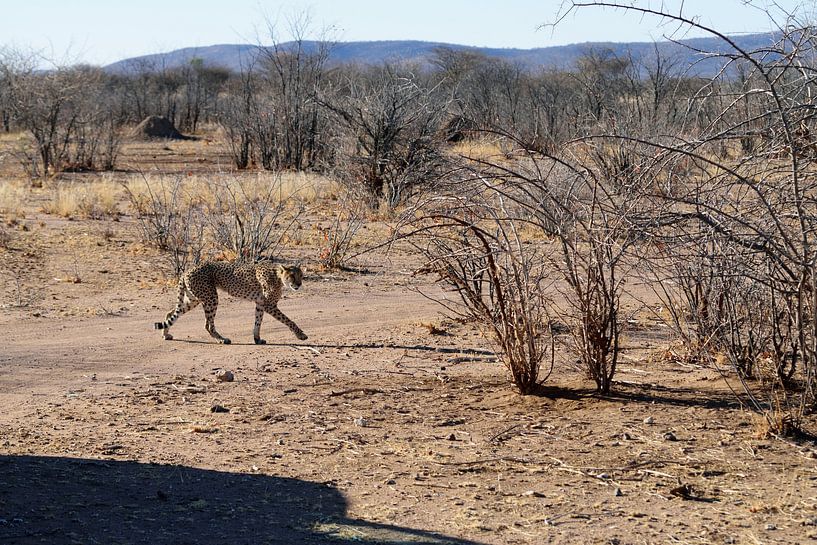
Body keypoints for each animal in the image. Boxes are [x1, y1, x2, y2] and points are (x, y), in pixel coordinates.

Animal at [153, 260, 308, 345]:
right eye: (292, 276)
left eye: (301, 275)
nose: (298, 284)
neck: (278, 276)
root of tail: (188, 270)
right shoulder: (269, 305)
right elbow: (288, 320)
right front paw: (300, 335)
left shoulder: (260, 304)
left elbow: (258, 321)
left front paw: (257, 339)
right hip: (211, 297)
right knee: (208, 325)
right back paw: (222, 340)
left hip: (194, 299)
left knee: (171, 313)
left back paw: (165, 334)